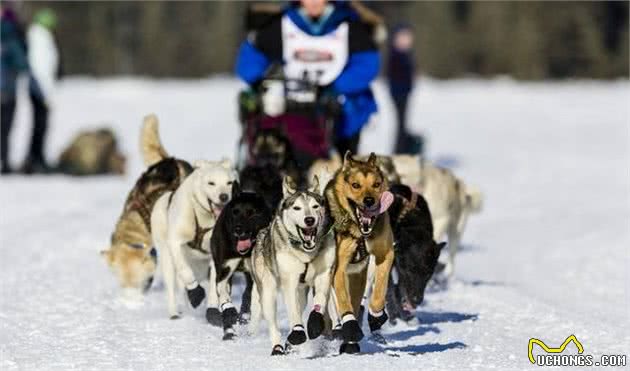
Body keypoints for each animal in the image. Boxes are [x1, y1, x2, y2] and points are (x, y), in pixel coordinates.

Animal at [211, 183, 272, 340]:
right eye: (235, 212)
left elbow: (254, 301)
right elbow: (223, 294)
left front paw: (251, 327)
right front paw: (229, 310)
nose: (237, 229)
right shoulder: (224, 269)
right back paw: (229, 331)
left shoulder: (257, 273)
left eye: (251, 213)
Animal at [249, 176, 336, 356]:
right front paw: (297, 332)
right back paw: (277, 346)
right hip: (268, 292)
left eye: (315, 206)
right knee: (273, 323)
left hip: (301, 293)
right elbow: (294, 313)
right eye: (297, 207)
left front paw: (314, 324)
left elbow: (320, 299)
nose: (309, 220)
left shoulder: (324, 274)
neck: (306, 253)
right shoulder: (289, 281)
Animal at [326, 151, 396, 354]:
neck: (360, 233)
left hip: (359, 276)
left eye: (376, 184)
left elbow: (379, 290)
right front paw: (349, 327)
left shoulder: (385, 254)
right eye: (355, 185)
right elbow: (343, 301)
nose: (369, 200)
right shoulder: (339, 268)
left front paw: (376, 314)